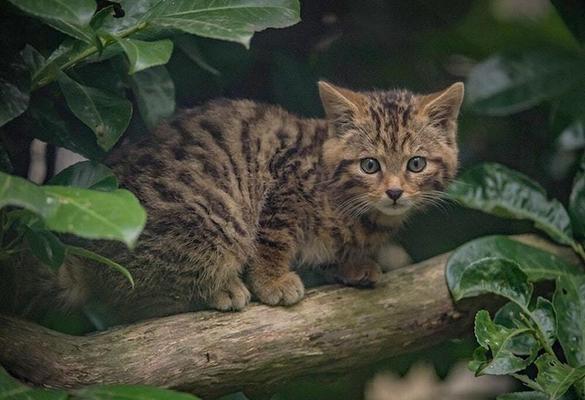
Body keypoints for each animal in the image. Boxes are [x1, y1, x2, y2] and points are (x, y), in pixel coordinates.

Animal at [54, 80, 464, 322]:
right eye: (369, 165)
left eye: (415, 164)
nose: (394, 192)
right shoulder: (284, 184)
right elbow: (272, 238)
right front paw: (272, 281)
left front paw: (353, 266)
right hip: (212, 216)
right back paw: (220, 288)